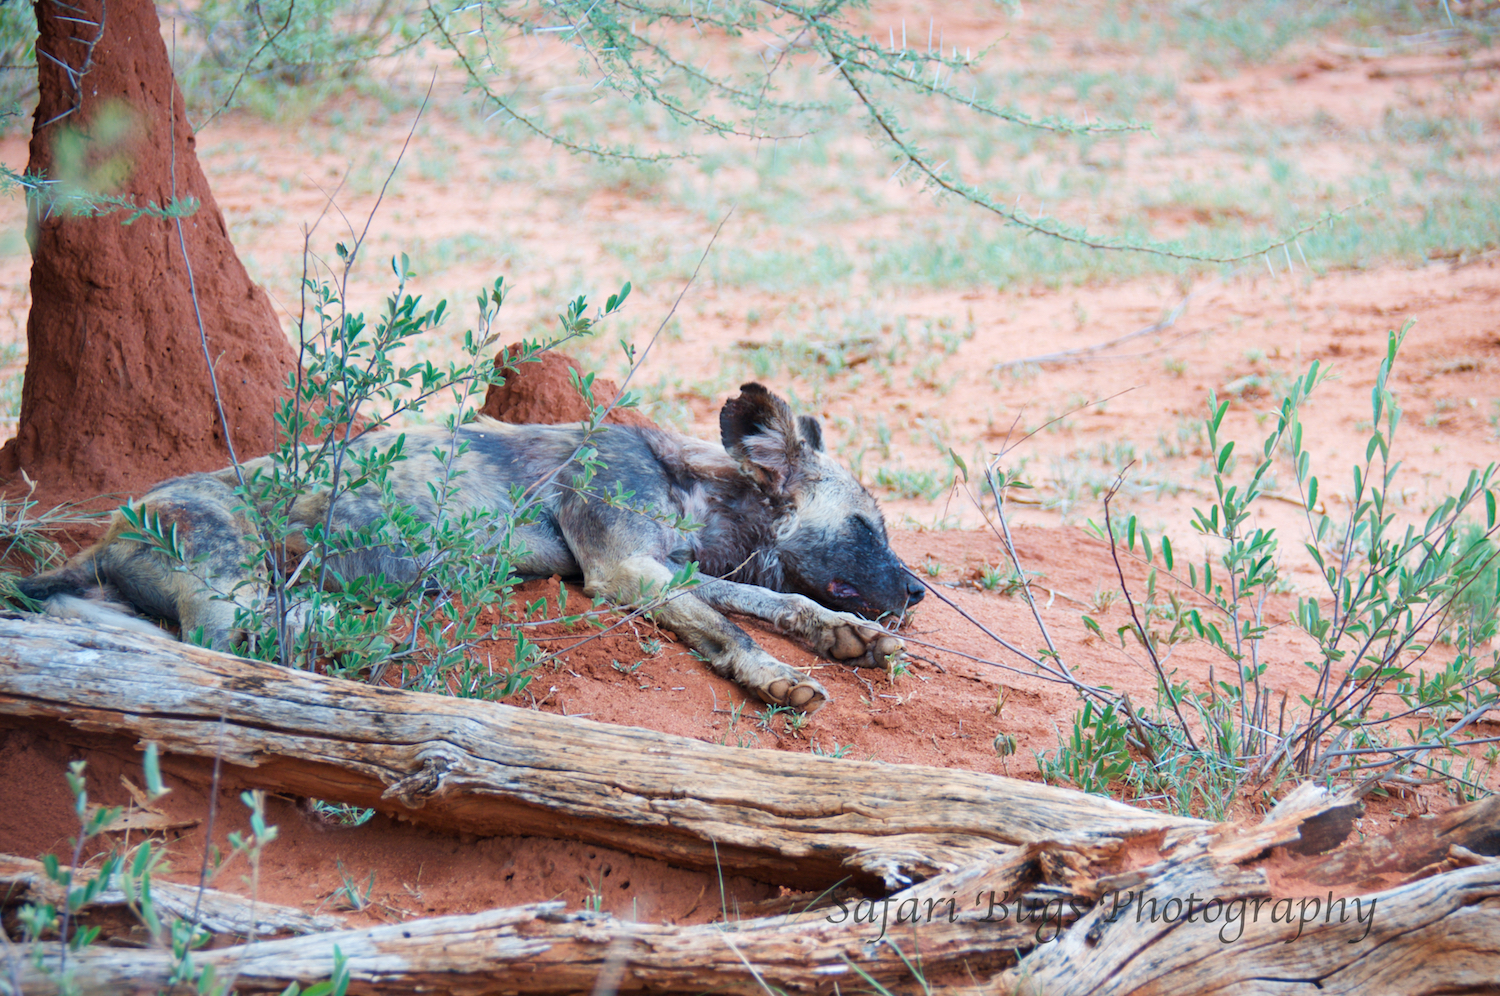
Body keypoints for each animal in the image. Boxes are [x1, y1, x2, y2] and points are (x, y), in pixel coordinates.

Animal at [17, 384, 918, 711]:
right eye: (867, 527)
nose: (914, 593)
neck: (695, 488)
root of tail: (110, 529)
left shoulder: (669, 569)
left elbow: (776, 599)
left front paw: (844, 637)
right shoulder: (625, 570)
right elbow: (731, 629)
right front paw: (774, 677)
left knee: (118, 630)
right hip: (227, 581)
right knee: (223, 643)